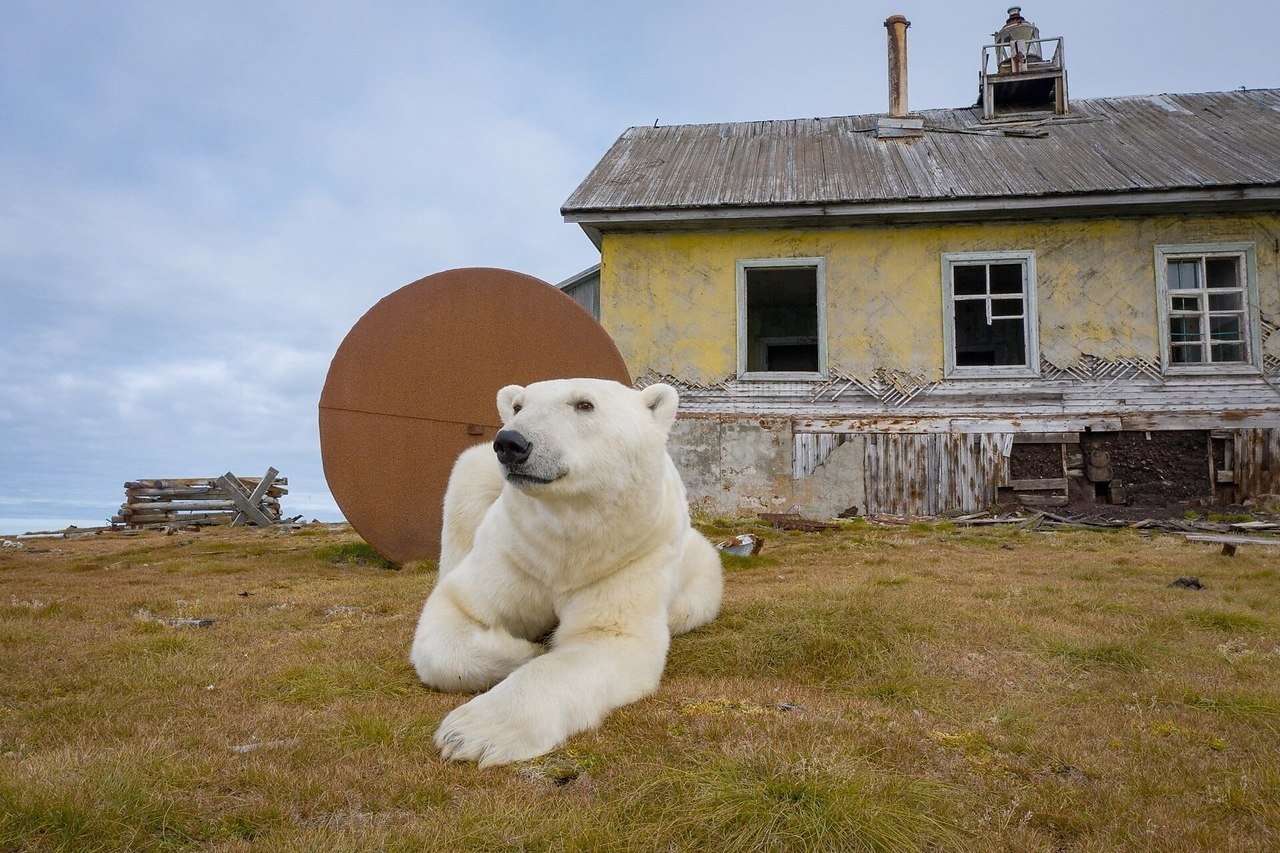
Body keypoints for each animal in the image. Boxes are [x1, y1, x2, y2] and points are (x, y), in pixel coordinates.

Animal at [409, 376, 721, 758]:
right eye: (518, 406)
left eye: (584, 404)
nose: (511, 443)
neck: (565, 544)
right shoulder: (516, 551)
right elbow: (457, 611)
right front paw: (524, 650)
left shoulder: (627, 557)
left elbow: (606, 637)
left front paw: (472, 731)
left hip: (697, 564)